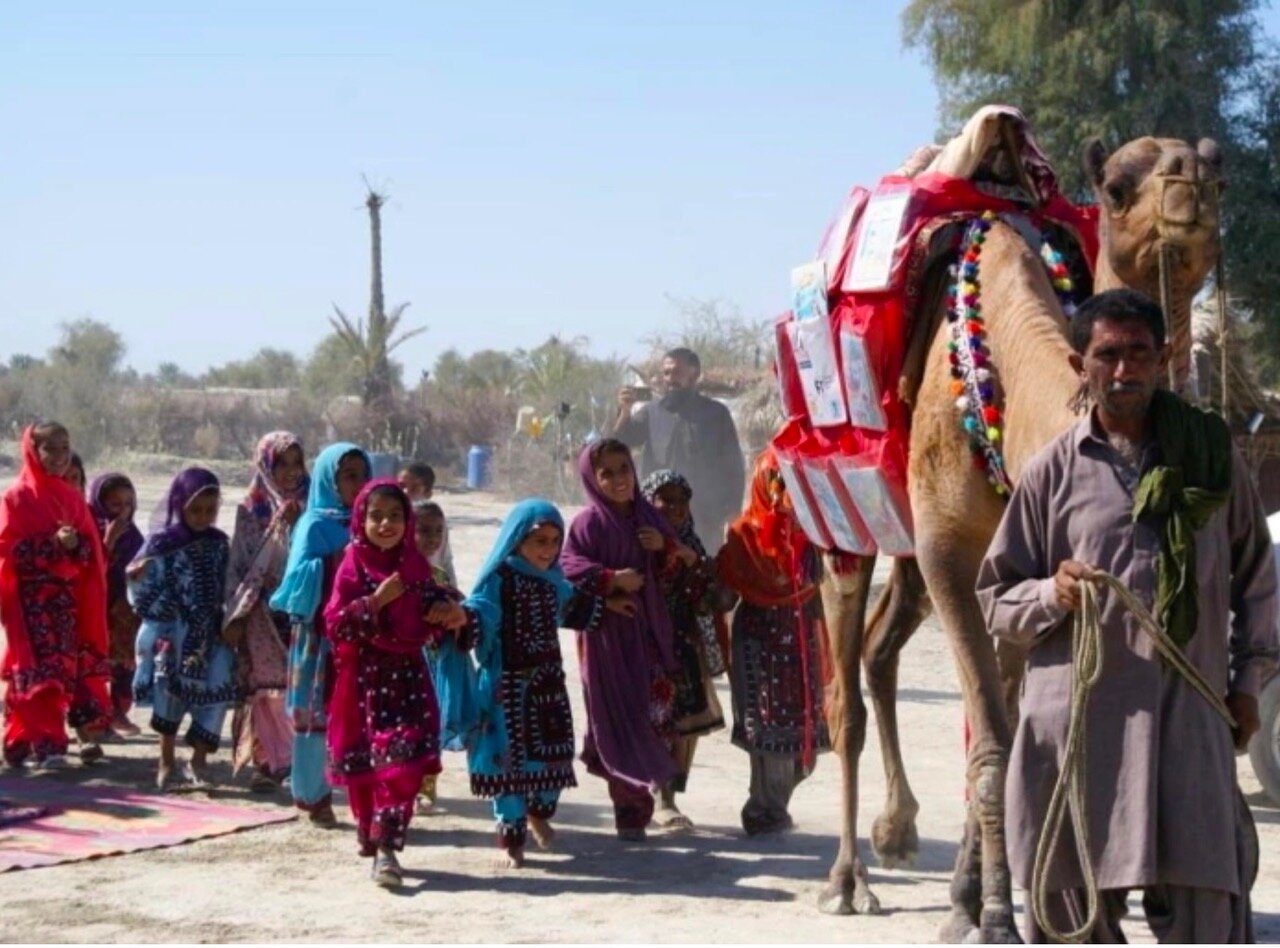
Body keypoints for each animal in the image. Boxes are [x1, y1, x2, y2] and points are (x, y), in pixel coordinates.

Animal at [814, 133, 1223, 941]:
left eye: (1218, 167)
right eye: (1117, 186)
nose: (1188, 183)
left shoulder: (1009, 563)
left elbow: (998, 720)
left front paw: (971, 898)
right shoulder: (947, 548)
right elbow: (997, 739)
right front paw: (999, 914)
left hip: (909, 558)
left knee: (880, 651)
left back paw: (898, 832)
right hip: (847, 514)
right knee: (844, 692)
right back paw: (849, 880)